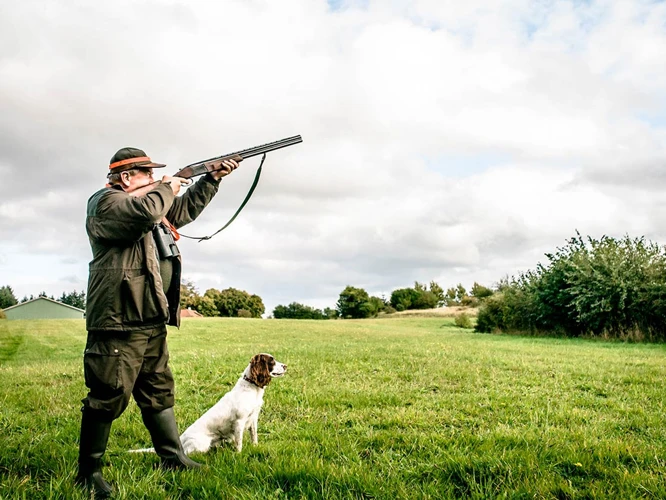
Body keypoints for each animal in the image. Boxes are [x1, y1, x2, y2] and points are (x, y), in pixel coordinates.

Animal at [130, 354, 286, 456]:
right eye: (271, 361)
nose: (285, 365)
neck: (252, 388)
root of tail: (181, 438)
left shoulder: (253, 419)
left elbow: (254, 436)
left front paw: (255, 447)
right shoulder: (239, 421)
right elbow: (239, 442)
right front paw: (239, 454)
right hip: (201, 445)